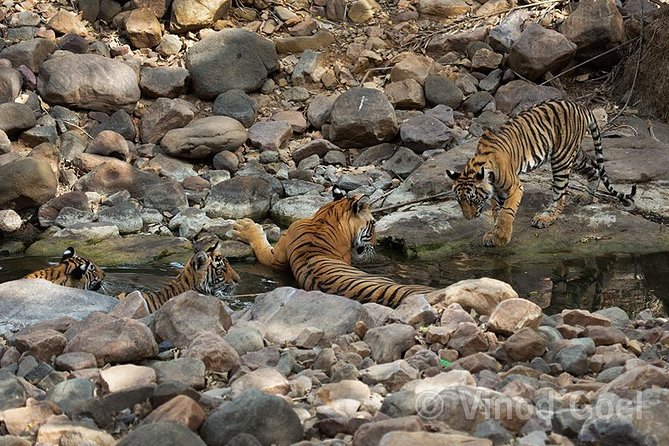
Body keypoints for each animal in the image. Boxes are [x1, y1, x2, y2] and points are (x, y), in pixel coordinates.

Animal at [232, 188, 435, 308]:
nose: (376, 244)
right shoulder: (275, 257)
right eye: (374, 224)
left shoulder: (278, 257)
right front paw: (244, 226)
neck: (325, 218)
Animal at [446, 100, 637, 247]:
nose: (469, 218)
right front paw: (493, 234)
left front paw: (501, 237)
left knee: (561, 194)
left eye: (472, 199)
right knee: (594, 167)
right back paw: (587, 197)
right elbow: (496, 213)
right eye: (459, 201)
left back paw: (546, 218)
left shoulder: (515, 186)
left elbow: (506, 212)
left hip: (561, 159)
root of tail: (580, 106)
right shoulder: (496, 192)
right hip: (574, 155)